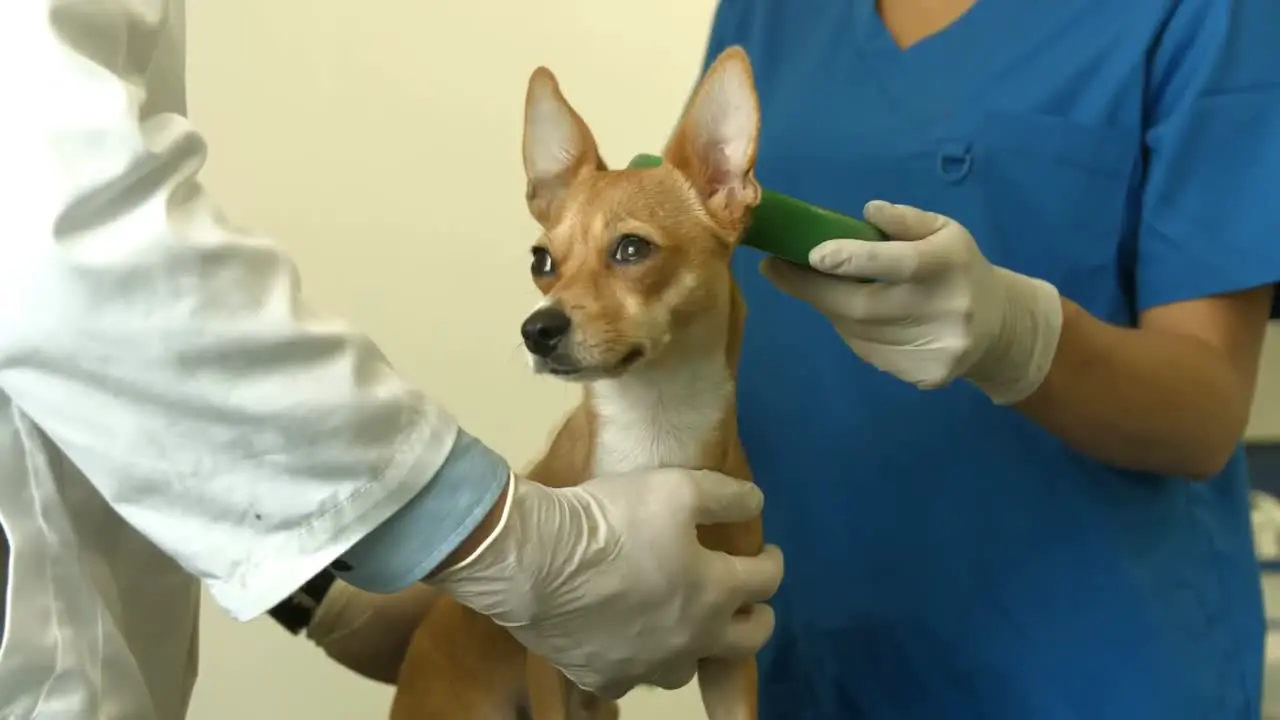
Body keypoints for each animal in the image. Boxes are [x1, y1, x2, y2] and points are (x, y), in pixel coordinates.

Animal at [389, 46, 762, 717]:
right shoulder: (558, 674)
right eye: (542, 262)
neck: (653, 427)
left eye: (632, 249)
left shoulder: (731, 660)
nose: (537, 328)